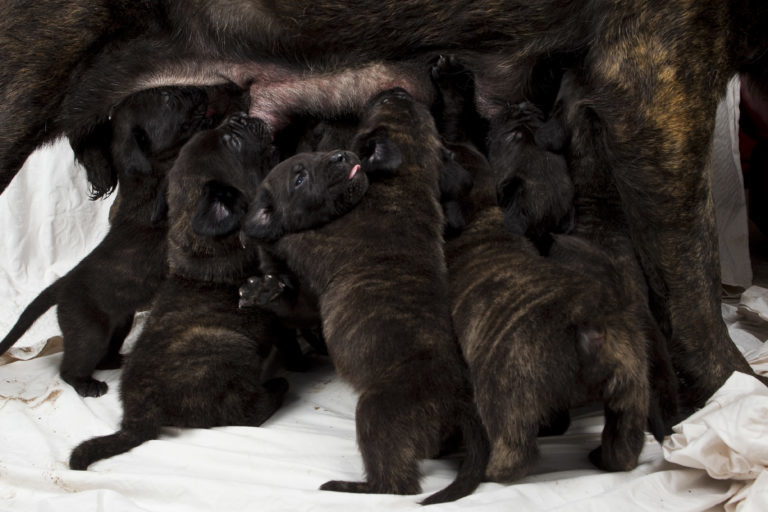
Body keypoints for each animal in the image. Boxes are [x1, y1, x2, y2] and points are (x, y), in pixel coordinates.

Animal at [0, 85, 212, 396]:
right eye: (167, 99)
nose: (199, 89)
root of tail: (61, 284)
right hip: (90, 332)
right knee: (70, 368)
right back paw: (88, 385)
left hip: (120, 323)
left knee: (104, 355)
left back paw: (117, 361)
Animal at [68, 114, 288, 470]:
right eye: (233, 143)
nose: (239, 117)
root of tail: (138, 417)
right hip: (231, 349)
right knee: (245, 413)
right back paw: (277, 389)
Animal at [243, 88, 488, 504]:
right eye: (412, 109)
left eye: (386, 107)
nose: (397, 89)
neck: (408, 179)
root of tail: (459, 401)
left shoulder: (310, 257)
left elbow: (288, 241)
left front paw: (263, 237)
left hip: (376, 413)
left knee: (398, 484)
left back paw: (352, 487)